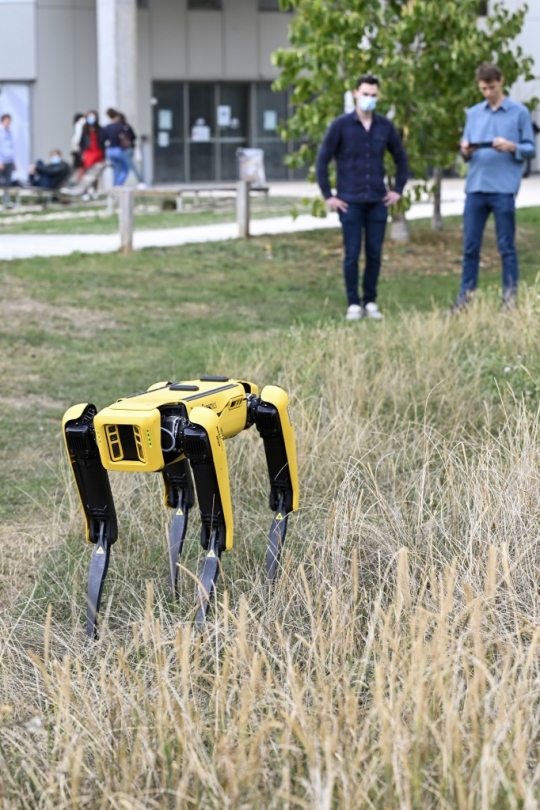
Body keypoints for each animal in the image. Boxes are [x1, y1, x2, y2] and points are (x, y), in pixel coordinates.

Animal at [64, 374, 300, 636]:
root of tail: (242, 384)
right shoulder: (82, 438)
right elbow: (104, 528)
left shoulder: (202, 432)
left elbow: (217, 530)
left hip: (263, 408)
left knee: (273, 414)